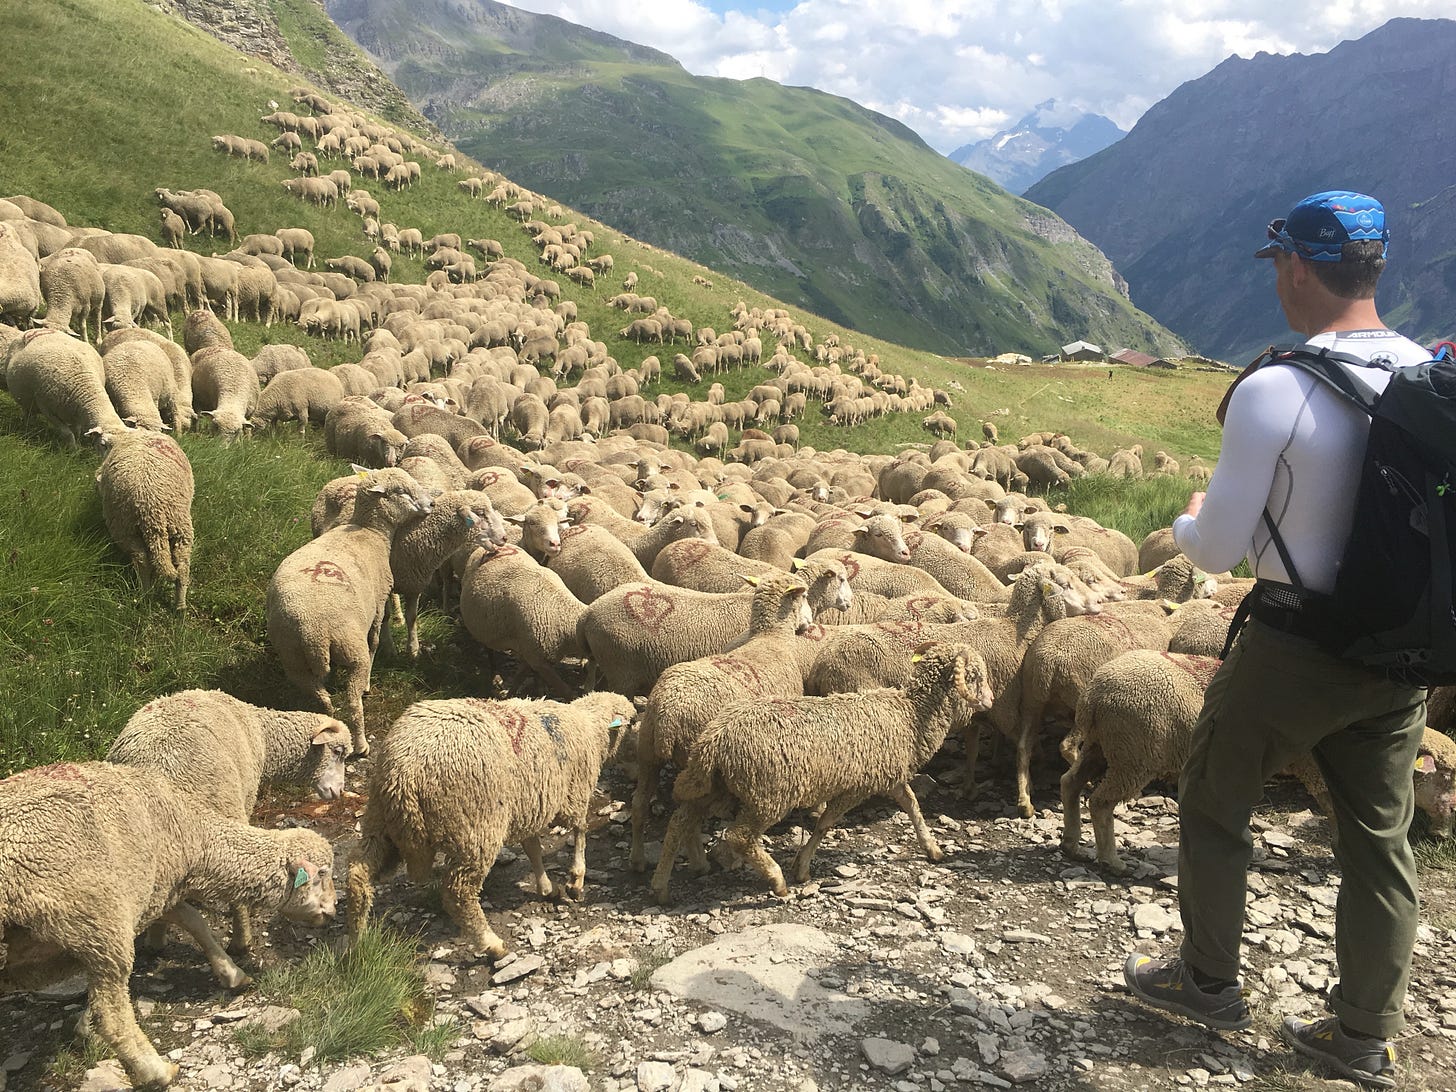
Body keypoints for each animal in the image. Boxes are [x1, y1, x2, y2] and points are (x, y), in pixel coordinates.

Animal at [0, 762, 335, 1090]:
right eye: (321, 873)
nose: (332, 911)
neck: (195, 834)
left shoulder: (160, 889)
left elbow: (193, 920)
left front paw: (230, 972)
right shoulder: (152, 890)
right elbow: (191, 920)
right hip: (101, 925)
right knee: (112, 1016)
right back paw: (157, 1070)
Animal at [266, 468, 436, 755]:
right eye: (402, 491)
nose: (432, 504)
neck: (370, 531)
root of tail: (312, 632)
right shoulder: (378, 603)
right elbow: (376, 638)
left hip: (292, 658)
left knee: (322, 697)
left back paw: (328, 720)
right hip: (350, 647)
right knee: (353, 701)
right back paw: (361, 743)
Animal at [346, 691, 635, 957]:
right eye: (632, 722)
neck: (590, 728)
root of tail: (404, 772)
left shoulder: (528, 805)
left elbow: (533, 848)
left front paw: (546, 887)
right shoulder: (573, 794)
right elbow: (580, 832)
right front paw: (575, 882)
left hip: (379, 820)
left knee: (358, 875)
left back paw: (357, 941)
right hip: (476, 829)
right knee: (458, 893)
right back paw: (492, 944)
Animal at [650, 642, 995, 903]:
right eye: (974, 675)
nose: (991, 701)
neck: (910, 716)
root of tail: (716, 737)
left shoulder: (889, 776)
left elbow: (912, 806)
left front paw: (932, 848)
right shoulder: (857, 786)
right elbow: (826, 823)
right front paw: (801, 868)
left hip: (715, 785)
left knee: (679, 822)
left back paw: (661, 887)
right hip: (768, 794)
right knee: (738, 836)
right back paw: (776, 880)